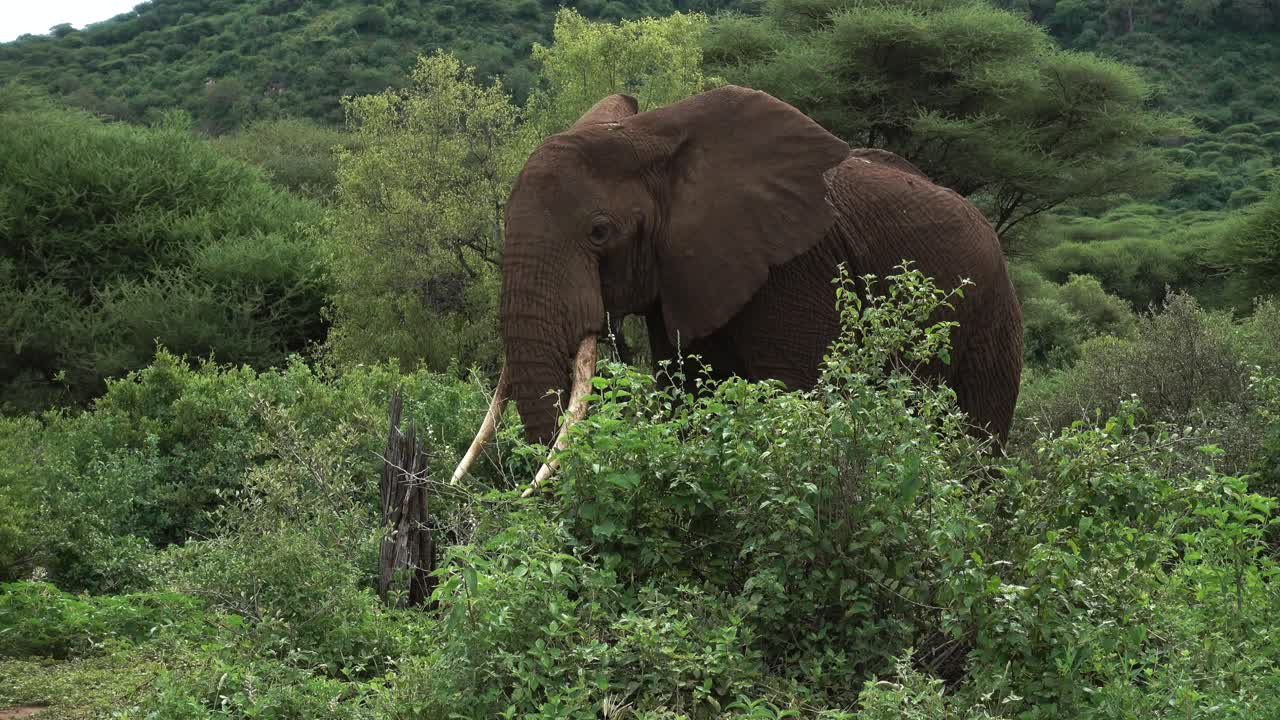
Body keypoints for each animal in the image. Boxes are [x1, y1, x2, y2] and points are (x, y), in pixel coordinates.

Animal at [451, 85, 1023, 490]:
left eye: (599, 232)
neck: (650, 136)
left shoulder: (798, 267)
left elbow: (796, 401)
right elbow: (688, 392)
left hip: (992, 309)